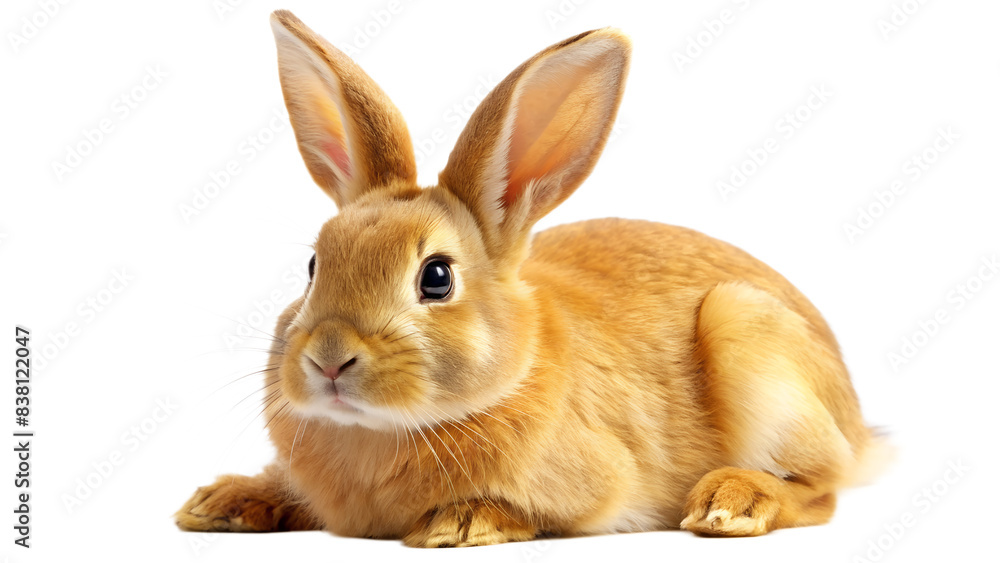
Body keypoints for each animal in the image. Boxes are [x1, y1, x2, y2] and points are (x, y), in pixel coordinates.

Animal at [175, 10, 887, 547]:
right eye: (313, 265)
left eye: (437, 278)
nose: (327, 359)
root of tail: (857, 424)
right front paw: (220, 503)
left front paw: (462, 524)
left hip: (751, 338)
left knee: (820, 490)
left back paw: (732, 502)